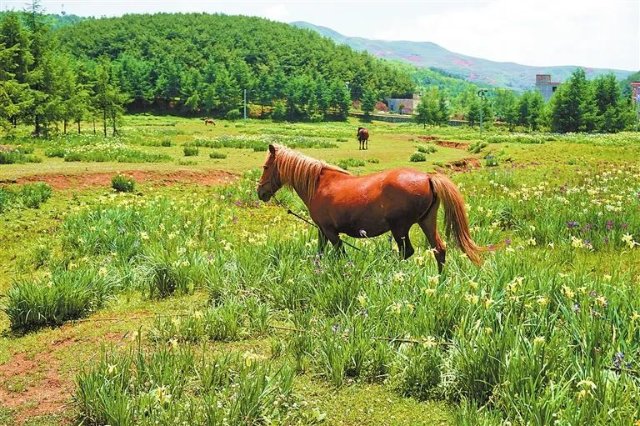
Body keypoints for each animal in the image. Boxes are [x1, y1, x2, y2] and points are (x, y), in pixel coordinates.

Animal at [258, 142, 488, 270]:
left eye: (266, 167)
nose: (260, 192)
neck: (319, 183)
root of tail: (428, 178)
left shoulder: (331, 232)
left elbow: (341, 254)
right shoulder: (322, 231)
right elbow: (320, 252)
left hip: (400, 228)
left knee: (406, 252)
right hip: (427, 222)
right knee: (439, 250)